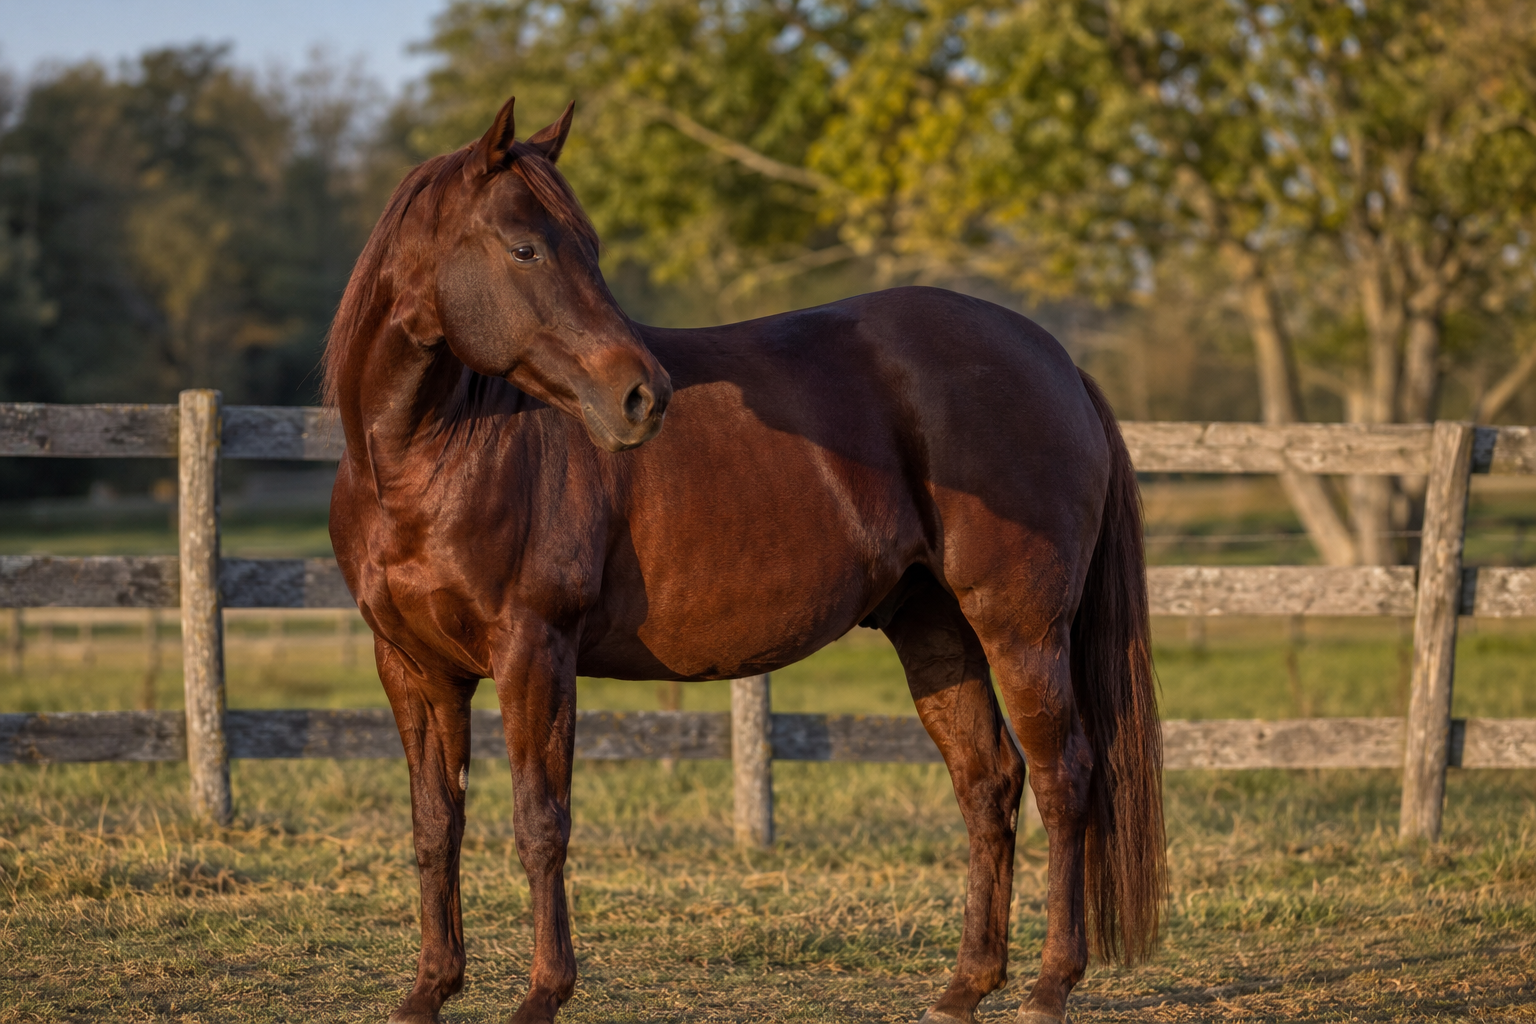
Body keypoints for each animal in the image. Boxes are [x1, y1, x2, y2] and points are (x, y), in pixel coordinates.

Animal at [324, 95, 1165, 1024]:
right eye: (525, 247)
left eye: (588, 246)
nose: (643, 395)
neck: (431, 459)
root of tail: (1058, 360)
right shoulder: (414, 667)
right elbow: (435, 825)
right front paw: (429, 990)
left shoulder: (533, 651)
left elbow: (541, 822)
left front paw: (543, 994)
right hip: (936, 629)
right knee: (989, 782)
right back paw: (965, 985)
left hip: (1021, 628)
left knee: (1064, 778)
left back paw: (1050, 985)